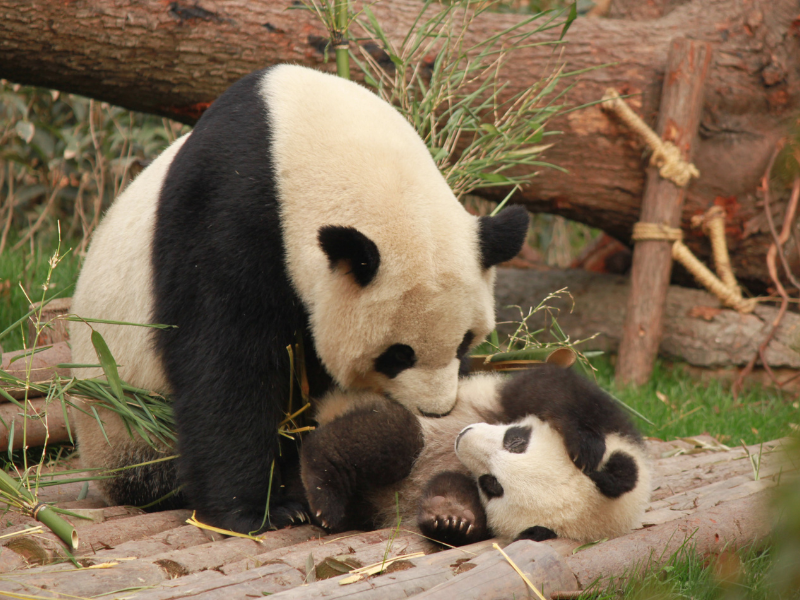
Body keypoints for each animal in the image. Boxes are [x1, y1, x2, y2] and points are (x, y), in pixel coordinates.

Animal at [67, 64, 530, 534]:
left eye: (465, 342)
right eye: (398, 354)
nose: (435, 411)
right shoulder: (225, 212)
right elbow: (225, 364)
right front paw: (255, 511)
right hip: (124, 421)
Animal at [301, 364, 651, 545]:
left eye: (492, 484)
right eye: (516, 440)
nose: (463, 437)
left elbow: (457, 496)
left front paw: (451, 518)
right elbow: (552, 387)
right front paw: (583, 444)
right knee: (393, 438)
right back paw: (323, 493)